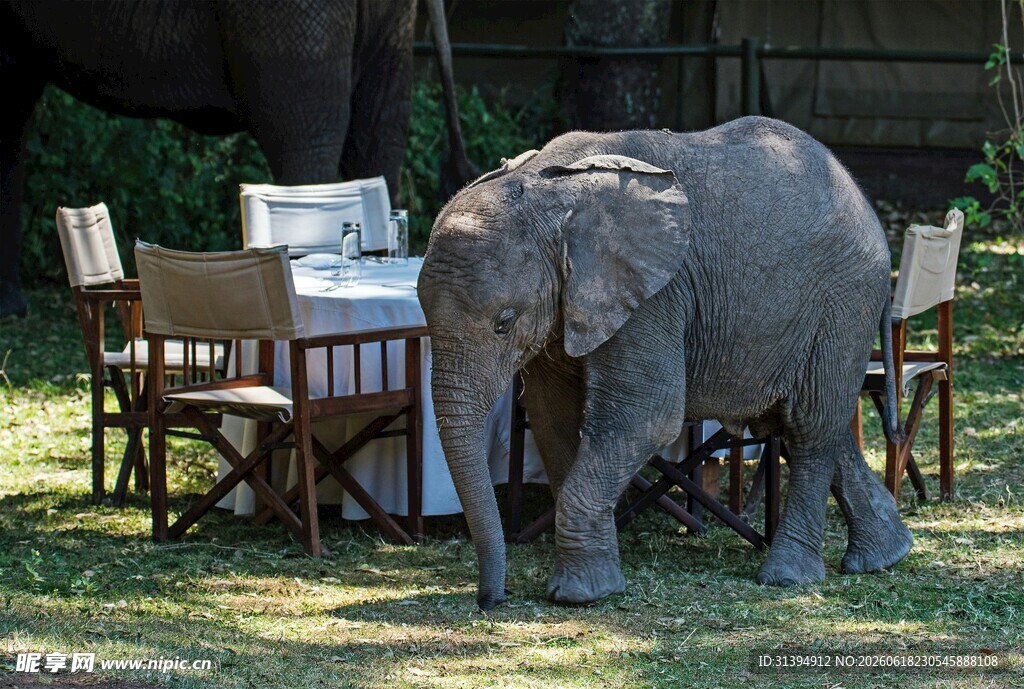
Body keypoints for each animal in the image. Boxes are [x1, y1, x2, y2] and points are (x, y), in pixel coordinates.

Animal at [417, 116, 914, 610]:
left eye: (504, 323)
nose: (493, 601)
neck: (548, 186)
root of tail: (865, 203)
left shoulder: (655, 295)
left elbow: (645, 418)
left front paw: (579, 595)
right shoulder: (567, 305)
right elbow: (552, 417)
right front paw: (598, 582)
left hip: (844, 300)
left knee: (810, 425)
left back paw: (788, 577)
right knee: (807, 423)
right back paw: (884, 557)